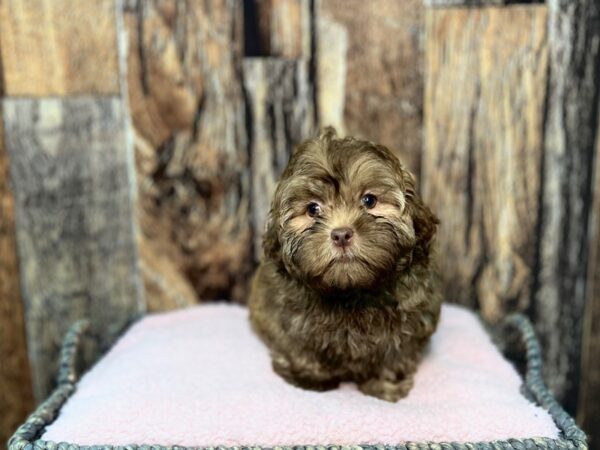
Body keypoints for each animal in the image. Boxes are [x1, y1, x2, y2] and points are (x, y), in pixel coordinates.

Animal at [248, 126, 440, 400]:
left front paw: (385, 384)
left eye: (369, 200)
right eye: (312, 209)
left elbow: (395, 352)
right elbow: (300, 346)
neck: (350, 292)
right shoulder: (285, 316)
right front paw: (310, 376)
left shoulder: (414, 316)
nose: (341, 234)